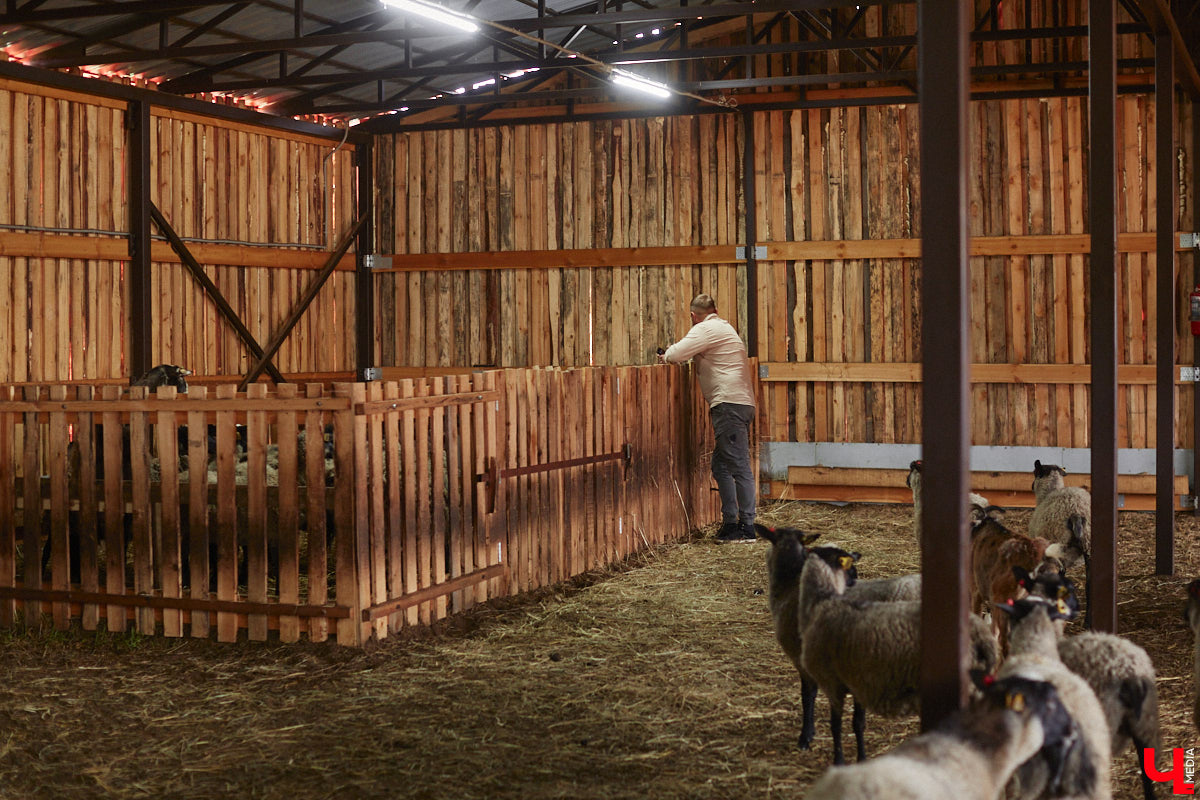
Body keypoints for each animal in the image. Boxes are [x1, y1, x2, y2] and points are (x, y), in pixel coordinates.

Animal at [796, 544, 1003, 762]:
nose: (853, 581)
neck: (821, 600)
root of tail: (981, 636)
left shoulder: (832, 682)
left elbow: (836, 726)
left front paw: (839, 761)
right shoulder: (856, 681)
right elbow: (856, 721)